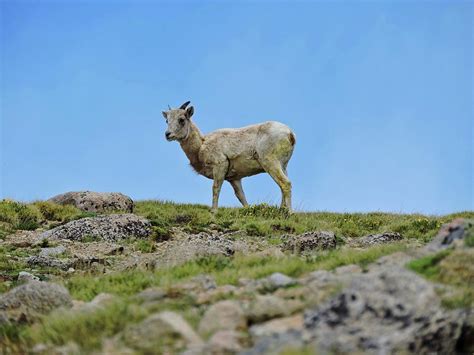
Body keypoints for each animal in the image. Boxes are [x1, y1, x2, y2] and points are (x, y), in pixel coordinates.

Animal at [164, 101, 296, 211]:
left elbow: (216, 188)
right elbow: (240, 196)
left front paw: (214, 211)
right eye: (167, 120)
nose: (167, 134)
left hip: (270, 163)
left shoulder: (220, 166)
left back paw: (289, 213)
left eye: (181, 119)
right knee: (282, 186)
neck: (200, 146)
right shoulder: (234, 179)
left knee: (285, 184)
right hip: (283, 165)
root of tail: (290, 134)